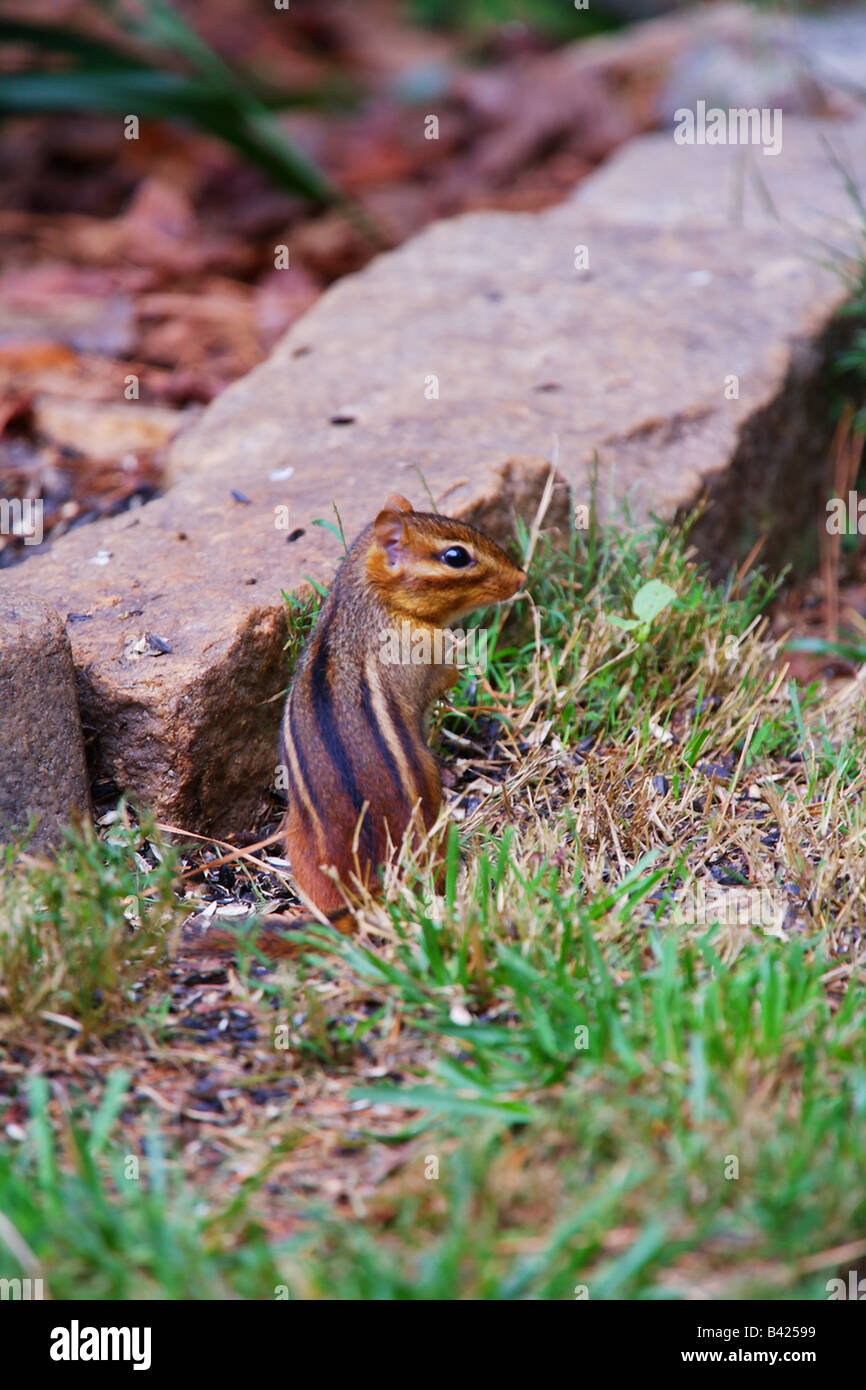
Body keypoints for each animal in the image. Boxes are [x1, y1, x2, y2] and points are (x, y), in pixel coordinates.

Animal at [186, 494, 525, 958]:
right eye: (456, 556)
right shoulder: (427, 651)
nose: (521, 578)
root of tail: (371, 885)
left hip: (300, 843)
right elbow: (446, 673)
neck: (366, 602)